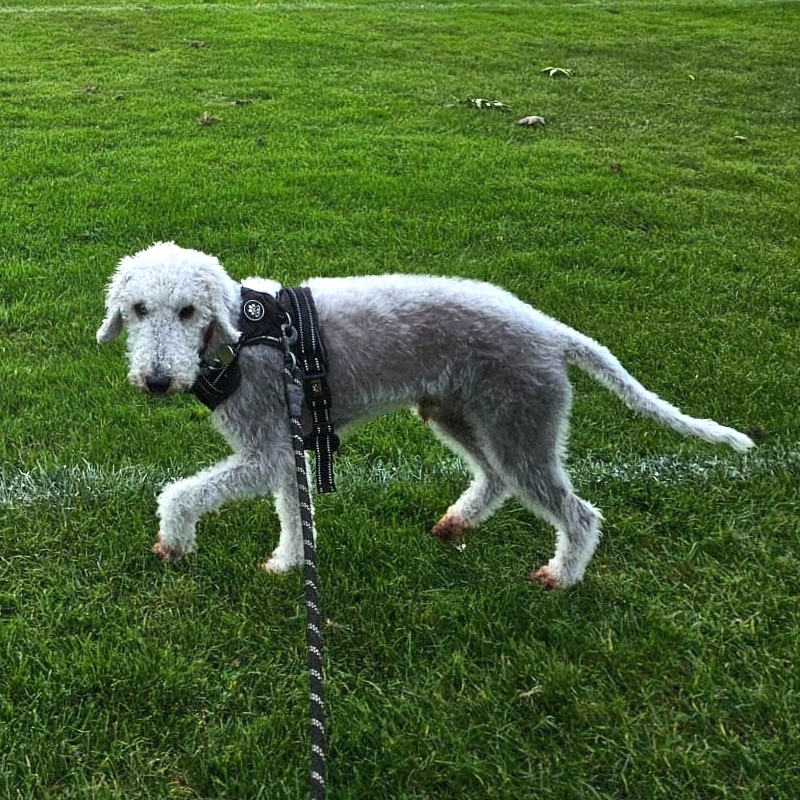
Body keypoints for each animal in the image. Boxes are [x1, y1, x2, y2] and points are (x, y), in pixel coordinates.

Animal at [97, 242, 753, 588]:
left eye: (188, 310)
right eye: (136, 309)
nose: (156, 380)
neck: (243, 335)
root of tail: (551, 331)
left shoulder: (266, 449)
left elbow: (179, 493)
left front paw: (174, 543)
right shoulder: (286, 448)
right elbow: (292, 514)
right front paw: (288, 563)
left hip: (522, 423)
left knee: (579, 513)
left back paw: (561, 577)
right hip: (463, 414)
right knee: (494, 480)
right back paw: (456, 524)